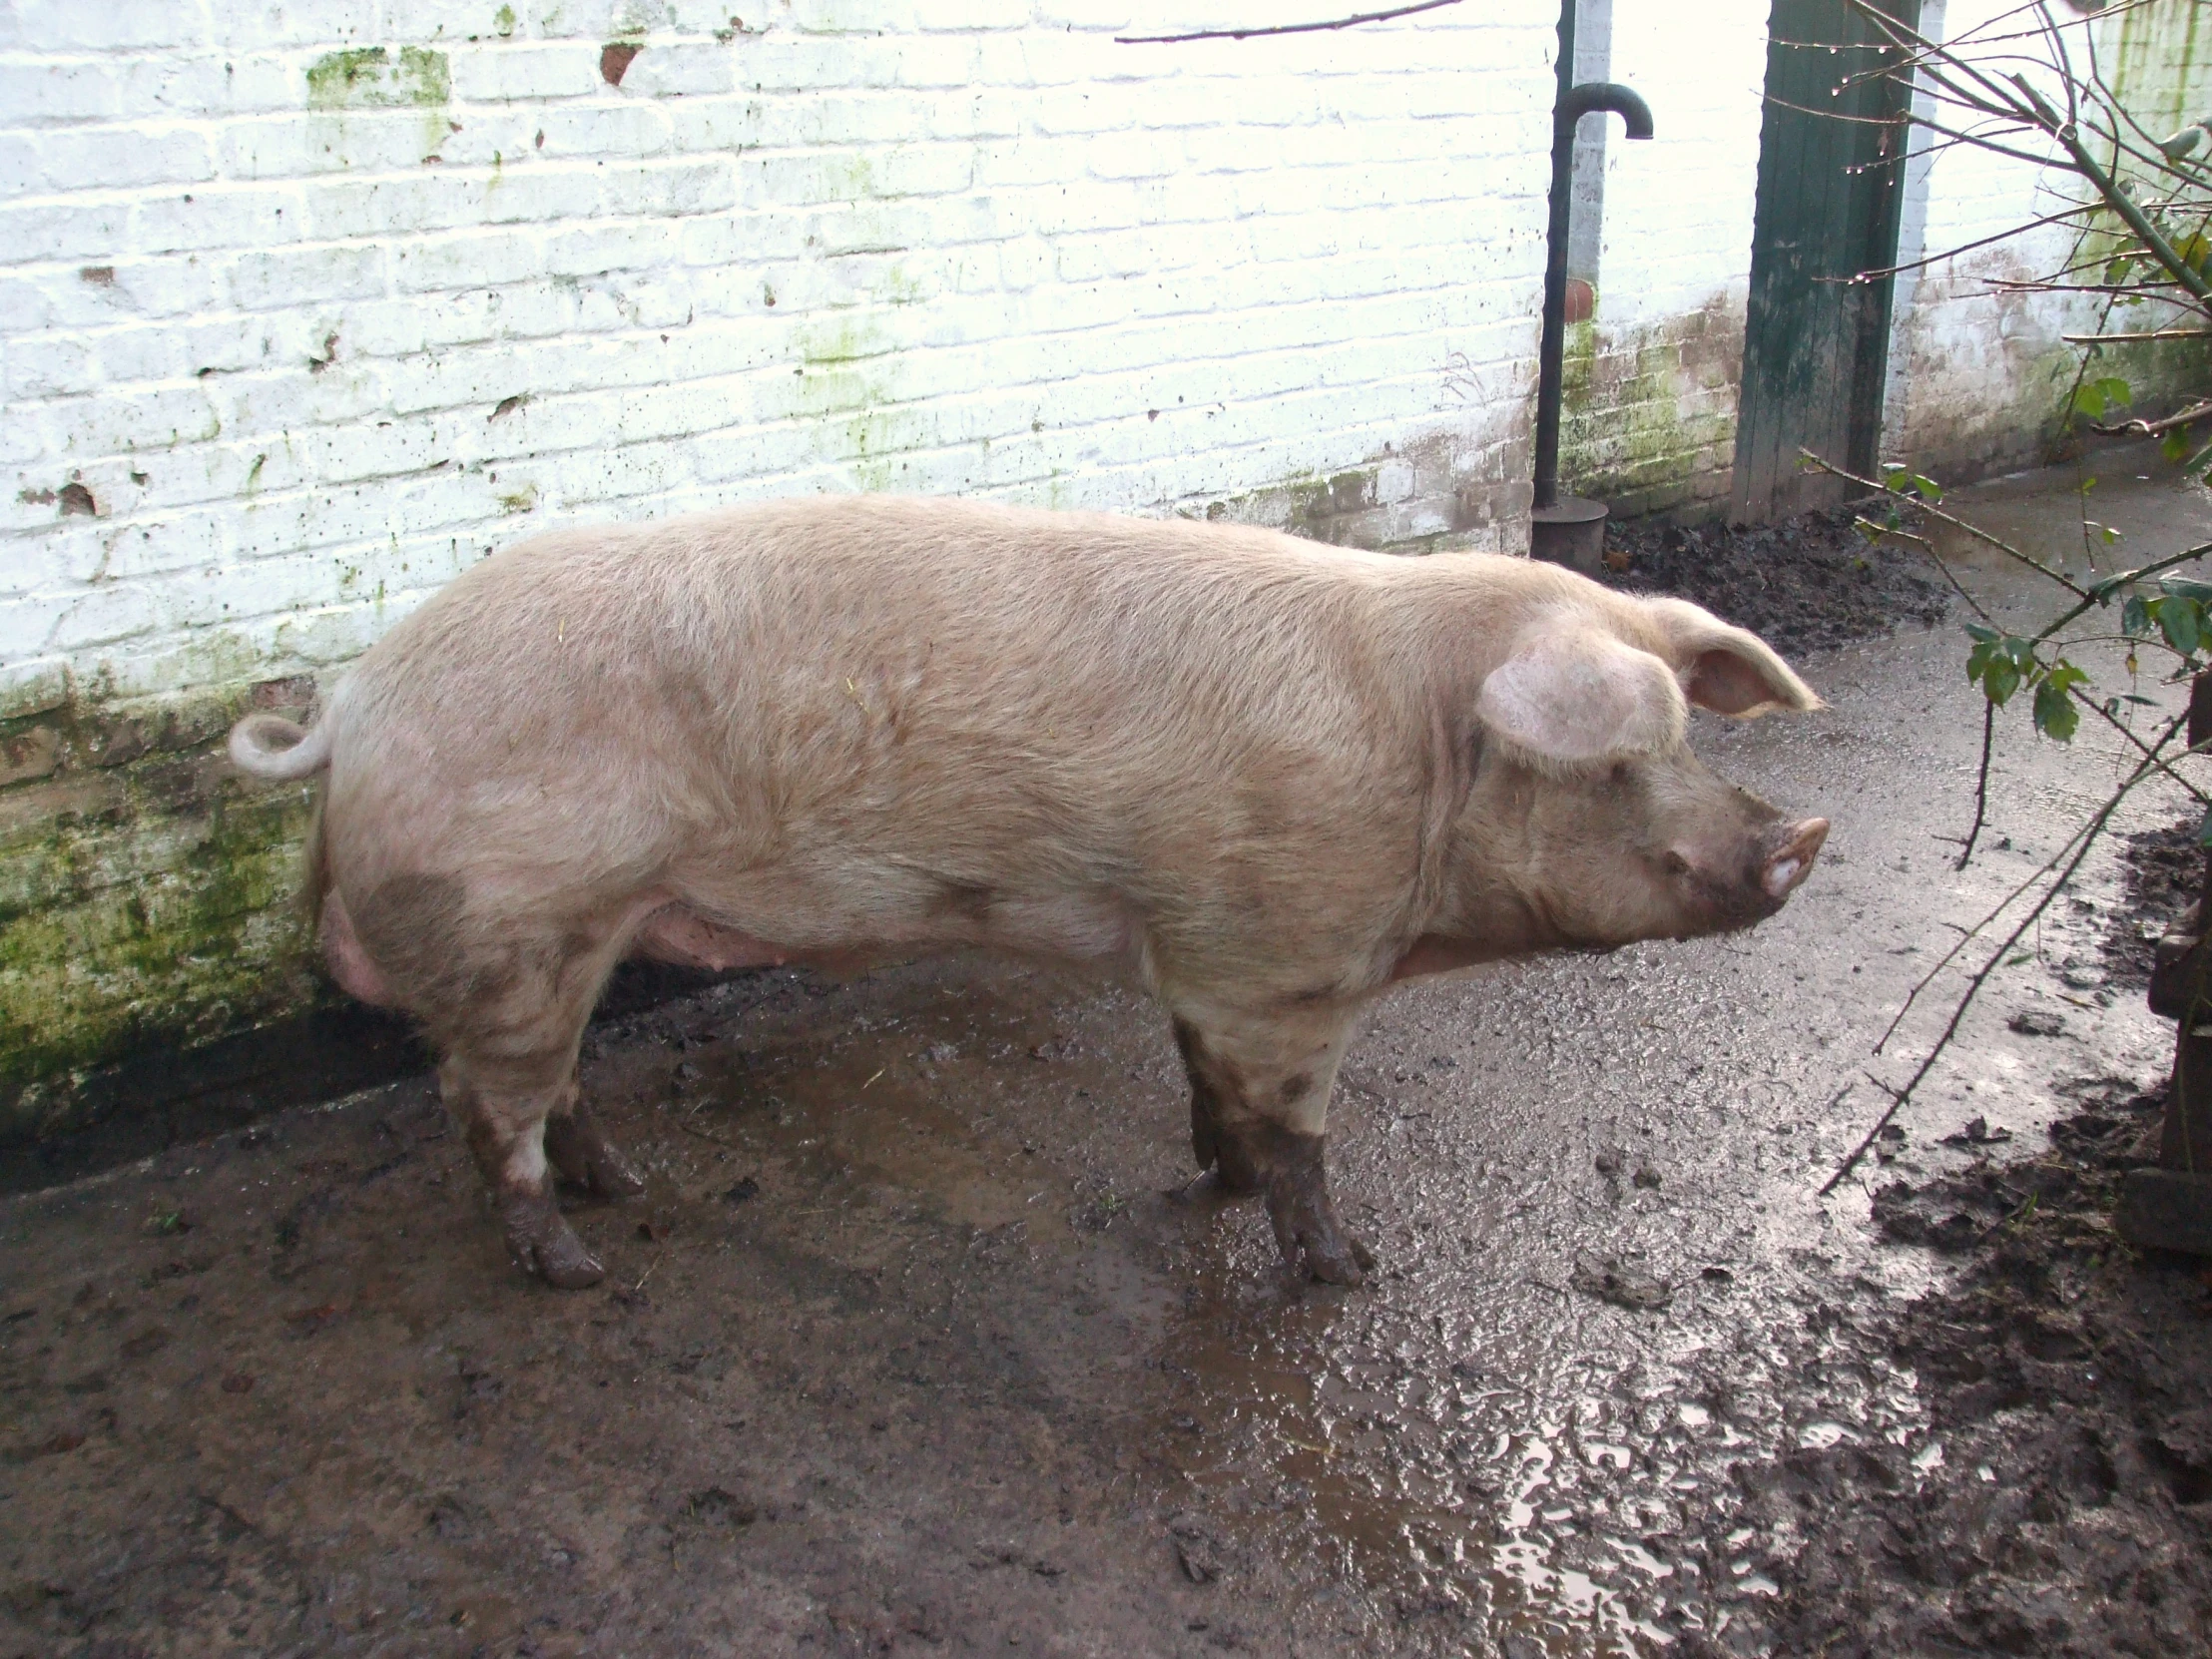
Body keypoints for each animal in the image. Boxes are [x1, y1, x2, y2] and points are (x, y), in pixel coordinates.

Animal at [224, 499, 1822, 1292]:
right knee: (483, 1109)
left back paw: (629, 1194)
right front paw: (1347, 1273)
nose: (1798, 838)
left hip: (568, 939)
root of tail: (354, 703)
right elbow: (1300, 1137)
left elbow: (1207, 1093)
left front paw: (1212, 1184)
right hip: (512, 926)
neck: (1420, 757)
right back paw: (573, 1270)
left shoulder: (1207, 952)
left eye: (1688, 738)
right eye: (1621, 760)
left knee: (549, 1088)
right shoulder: (1293, 962)